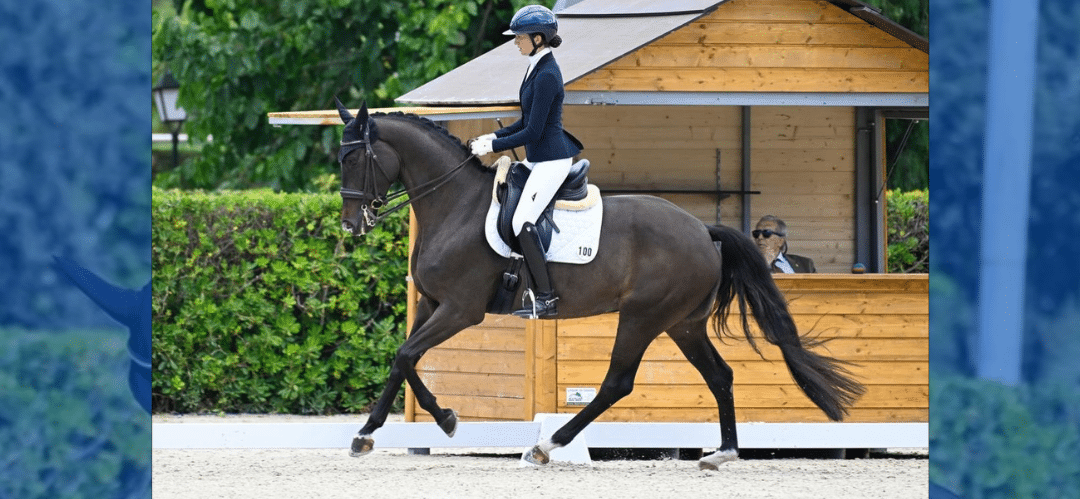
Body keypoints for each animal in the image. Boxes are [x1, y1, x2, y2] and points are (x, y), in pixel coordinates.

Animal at [332, 100, 864, 468]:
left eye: (353, 160)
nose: (351, 225)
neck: (455, 205)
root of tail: (701, 229)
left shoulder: (461, 309)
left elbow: (406, 355)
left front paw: (431, 422)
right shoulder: (432, 303)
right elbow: (404, 358)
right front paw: (380, 431)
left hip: (643, 316)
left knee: (616, 383)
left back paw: (548, 446)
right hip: (683, 324)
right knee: (720, 376)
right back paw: (723, 453)